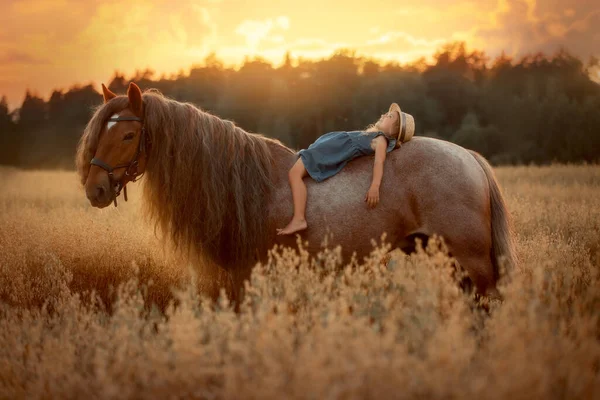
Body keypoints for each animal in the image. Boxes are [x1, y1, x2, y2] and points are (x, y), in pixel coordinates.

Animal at [76, 81, 516, 300]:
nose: (95, 189)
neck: (243, 183)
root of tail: (469, 156)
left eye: (128, 134)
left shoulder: (246, 275)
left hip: (472, 260)